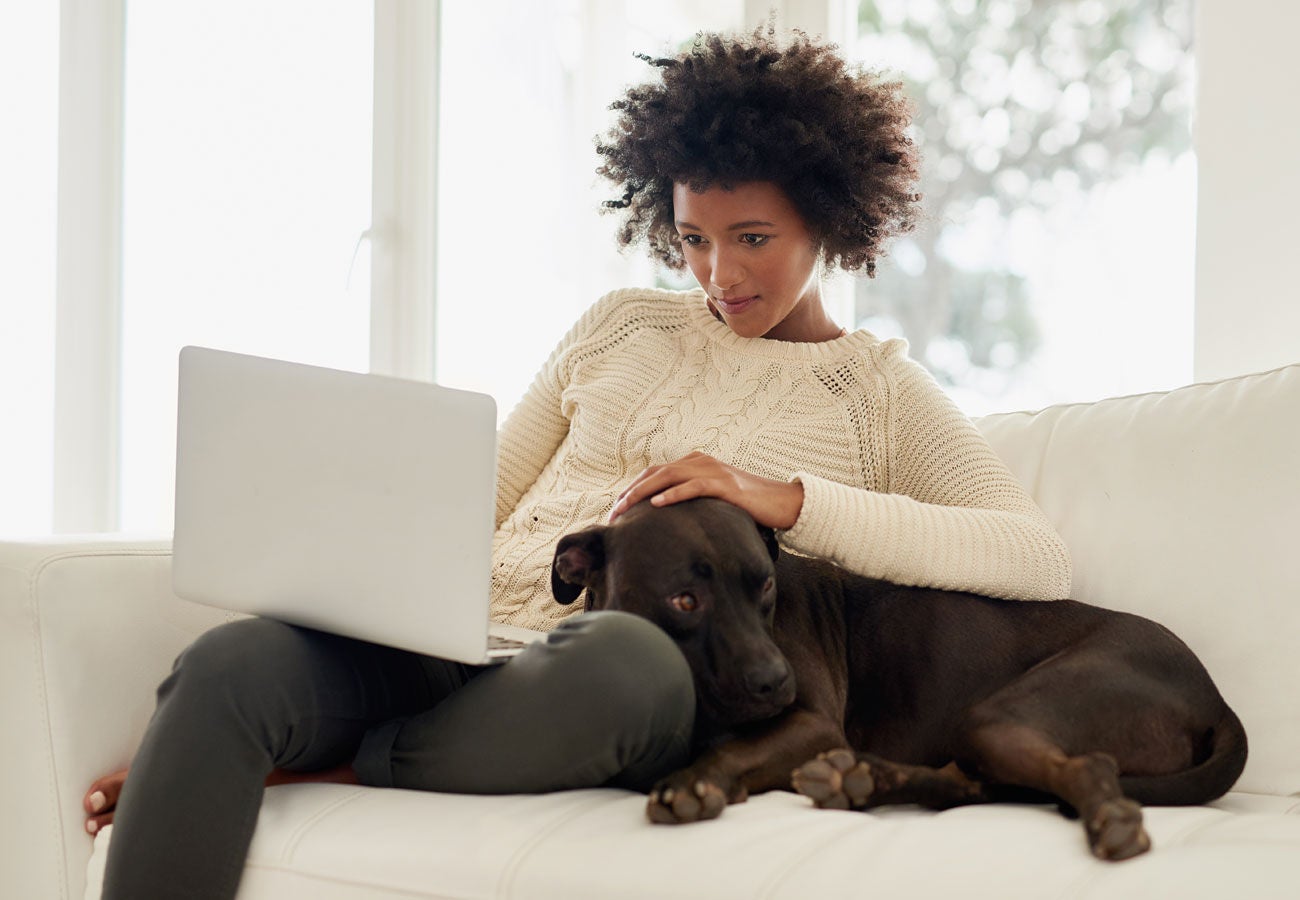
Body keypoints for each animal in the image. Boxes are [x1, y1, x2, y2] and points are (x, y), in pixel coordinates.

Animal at [551, 496, 1248, 863]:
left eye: (765, 586)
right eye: (684, 600)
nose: (775, 681)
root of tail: (1216, 699)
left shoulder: (811, 727)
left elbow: (735, 749)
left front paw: (693, 784)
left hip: (1002, 714)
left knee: (1079, 770)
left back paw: (1111, 822)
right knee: (973, 785)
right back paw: (863, 783)